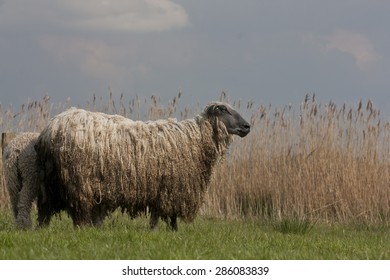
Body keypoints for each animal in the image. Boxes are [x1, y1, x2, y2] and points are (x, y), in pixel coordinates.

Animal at [35, 101, 250, 231]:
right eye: (224, 110)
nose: (247, 126)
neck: (194, 138)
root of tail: (50, 128)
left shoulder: (159, 188)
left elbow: (159, 215)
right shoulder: (171, 187)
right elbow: (167, 216)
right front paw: (168, 233)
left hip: (52, 181)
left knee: (45, 209)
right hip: (78, 182)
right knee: (79, 212)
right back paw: (83, 231)